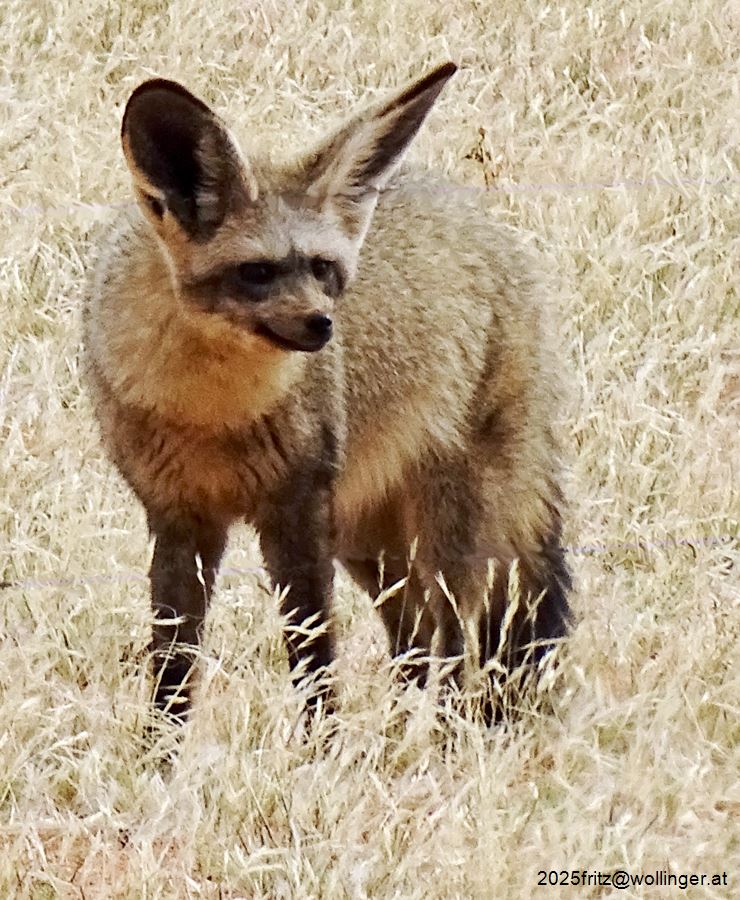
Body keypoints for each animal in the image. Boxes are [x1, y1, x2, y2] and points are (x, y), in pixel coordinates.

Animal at [83, 61, 571, 724]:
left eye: (322, 269)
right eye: (257, 273)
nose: (323, 325)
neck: (210, 414)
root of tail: (489, 225)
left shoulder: (296, 515)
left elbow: (314, 662)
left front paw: (321, 745)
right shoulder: (179, 518)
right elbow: (173, 668)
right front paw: (158, 749)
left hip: (447, 538)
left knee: (454, 645)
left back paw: (438, 739)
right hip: (370, 546)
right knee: (415, 639)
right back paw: (397, 732)